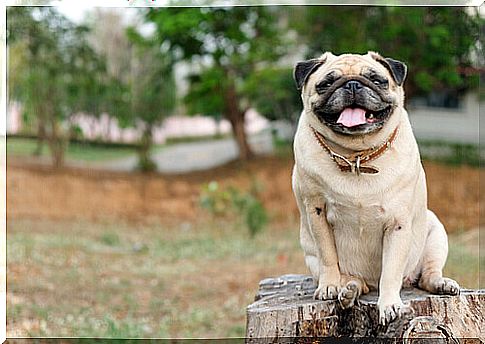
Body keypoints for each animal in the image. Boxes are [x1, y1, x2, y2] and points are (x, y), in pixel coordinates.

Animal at [292, 51, 458, 326]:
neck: (357, 156)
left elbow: (390, 271)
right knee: (352, 280)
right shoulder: (316, 212)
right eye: (326, 83)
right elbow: (328, 256)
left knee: (427, 275)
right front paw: (329, 286)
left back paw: (442, 284)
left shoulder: (397, 224)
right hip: (315, 259)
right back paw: (348, 291)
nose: (352, 84)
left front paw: (389, 304)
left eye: (377, 80)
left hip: (435, 234)